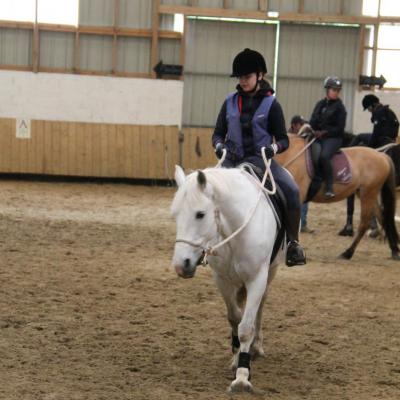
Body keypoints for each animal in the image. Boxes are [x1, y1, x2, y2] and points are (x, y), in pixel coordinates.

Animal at [172, 164, 282, 392]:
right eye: (175, 215)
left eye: (200, 214)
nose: (181, 265)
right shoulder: (222, 279)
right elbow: (234, 317)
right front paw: (236, 358)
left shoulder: (257, 279)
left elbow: (246, 327)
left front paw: (242, 377)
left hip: (271, 272)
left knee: (261, 307)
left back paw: (257, 347)